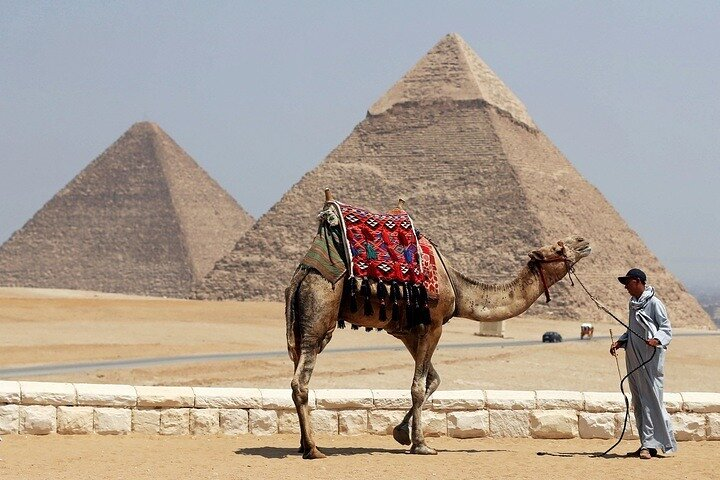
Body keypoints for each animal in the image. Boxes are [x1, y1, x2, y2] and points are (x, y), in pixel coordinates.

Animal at [285, 198, 592, 459]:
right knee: (300, 381)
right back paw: (313, 448)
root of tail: (301, 274)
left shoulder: (408, 331)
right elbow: (418, 387)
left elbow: (432, 380)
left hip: (301, 325)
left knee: (297, 370)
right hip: (319, 312)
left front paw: (401, 434)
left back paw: (302, 443)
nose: (583, 241)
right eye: (558, 248)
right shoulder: (433, 325)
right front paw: (421, 445)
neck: (458, 288)